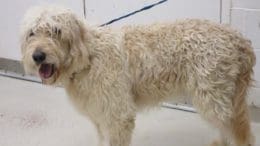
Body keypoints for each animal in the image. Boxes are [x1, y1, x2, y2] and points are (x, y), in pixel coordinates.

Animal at [20, 5, 256, 146]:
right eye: (32, 33)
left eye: (56, 31)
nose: (38, 56)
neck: (89, 56)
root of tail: (239, 38)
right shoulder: (99, 115)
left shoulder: (119, 115)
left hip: (214, 99)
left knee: (240, 133)